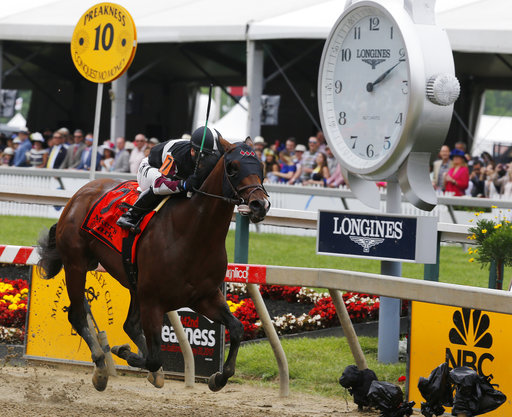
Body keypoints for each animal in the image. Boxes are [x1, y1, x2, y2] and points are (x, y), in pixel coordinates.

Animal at [37, 136, 270, 390]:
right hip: (76, 264)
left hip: (132, 281)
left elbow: (237, 329)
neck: (193, 234)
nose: (260, 204)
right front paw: (124, 352)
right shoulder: (153, 301)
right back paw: (100, 367)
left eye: (260, 165)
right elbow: (154, 357)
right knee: (78, 315)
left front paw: (218, 378)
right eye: (232, 167)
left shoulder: (204, 296)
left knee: (129, 324)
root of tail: (81, 193)